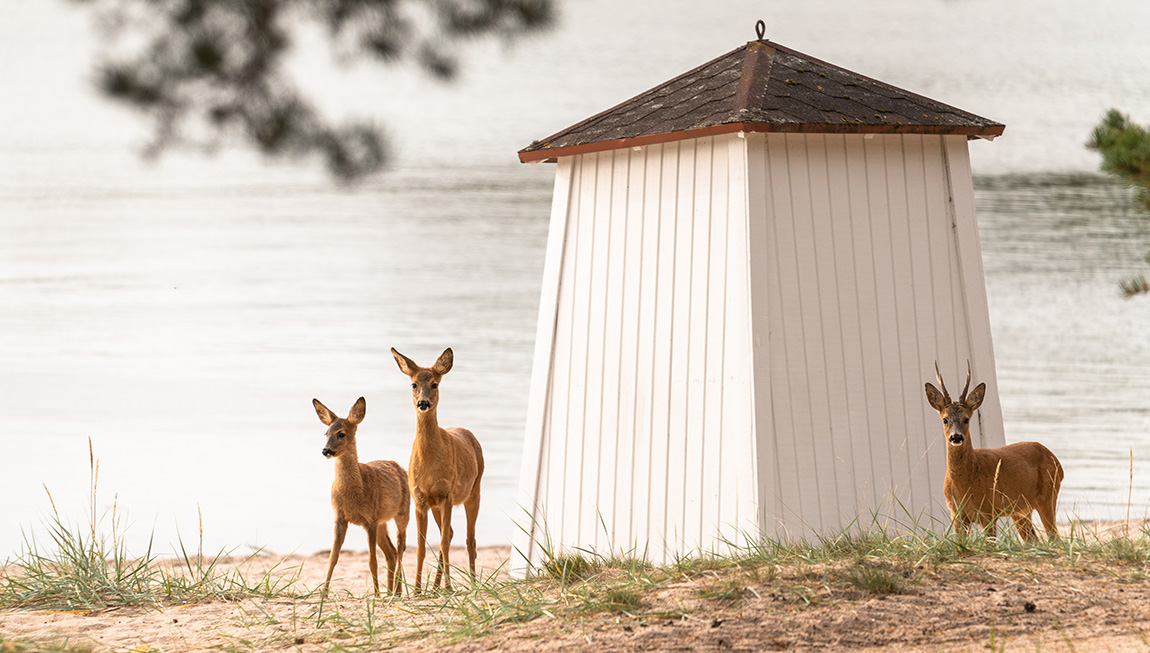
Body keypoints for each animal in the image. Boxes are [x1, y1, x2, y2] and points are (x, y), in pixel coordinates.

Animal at [312, 395, 411, 593]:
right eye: (326, 433)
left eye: (341, 433)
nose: (326, 451)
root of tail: (401, 468)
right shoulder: (340, 518)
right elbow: (332, 558)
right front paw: (323, 594)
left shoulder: (369, 520)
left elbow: (372, 561)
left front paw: (376, 595)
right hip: (382, 522)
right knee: (391, 552)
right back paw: (391, 592)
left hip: (403, 513)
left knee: (401, 546)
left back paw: (396, 591)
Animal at [393, 347, 483, 593]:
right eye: (413, 384)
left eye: (435, 384)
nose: (423, 403)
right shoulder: (420, 497)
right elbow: (422, 546)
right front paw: (416, 590)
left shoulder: (447, 493)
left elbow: (442, 542)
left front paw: (450, 587)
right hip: (436, 505)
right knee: (450, 533)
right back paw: (434, 587)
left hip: (474, 490)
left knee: (469, 539)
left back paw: (472, 583)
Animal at [920, 363, 1062, 540]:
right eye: (945, 419)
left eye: (966, 419)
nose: (956, 437)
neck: (966, 485)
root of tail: (1057, 461)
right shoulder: (957, 514)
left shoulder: (988, 510)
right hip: (1021, 511)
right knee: (1034, 540)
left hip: (1048, 495)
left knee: (1054, 537)